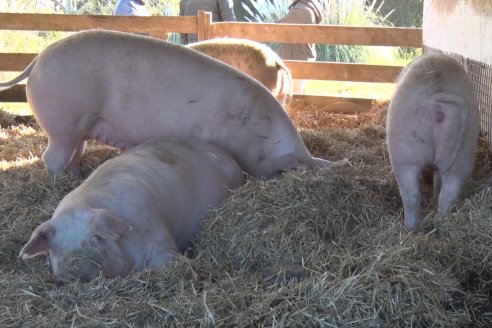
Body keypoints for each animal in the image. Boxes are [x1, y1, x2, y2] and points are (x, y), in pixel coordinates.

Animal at [0, 30, 330, 179]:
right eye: (282, 167)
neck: (257, 132)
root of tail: (38, 60)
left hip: (78, 126)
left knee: (73, 154)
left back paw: (77, 177)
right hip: (63, 122)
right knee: (51, 158)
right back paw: (61, 181)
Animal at [386, 53, 478, 232]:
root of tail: (438, 98)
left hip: (404, 150)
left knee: (411, 195)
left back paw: (411, 230)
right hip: (465, 150)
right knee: (448, 194)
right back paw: (442, 223)